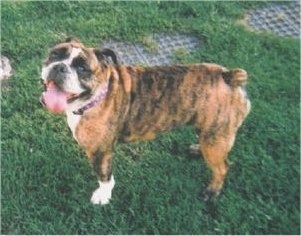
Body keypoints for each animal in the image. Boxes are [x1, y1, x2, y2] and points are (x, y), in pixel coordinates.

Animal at [40, 38, 251, 205]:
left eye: (82, 68)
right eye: (54, 54)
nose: (59, 67)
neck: (98, 94)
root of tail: (229, 76)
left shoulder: (100, 153)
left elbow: (104, 177)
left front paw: (103, 196)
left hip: (216, 138)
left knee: (222, 168)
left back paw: (211, 192)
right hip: (210, 133)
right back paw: (197, 149)